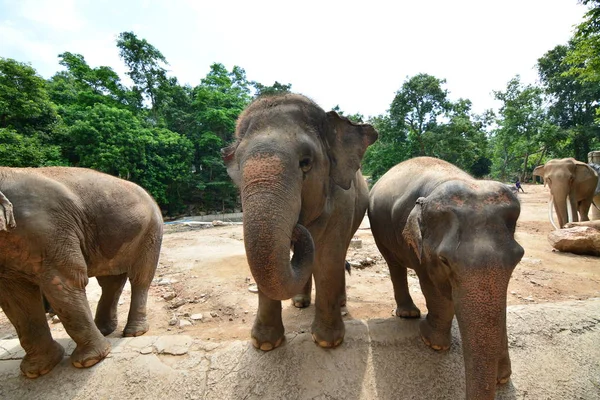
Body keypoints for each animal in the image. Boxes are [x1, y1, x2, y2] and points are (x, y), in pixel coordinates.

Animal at [0, 166, 163, 378]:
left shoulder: (49, 232)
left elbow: (62, 281)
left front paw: (89, 361)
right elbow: (15, 299)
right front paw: (37, 370)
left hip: (150, 232)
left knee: (140, 278)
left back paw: (134, 333)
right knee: (111, 282)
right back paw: (104, 330)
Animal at [223, 93, 378, 350]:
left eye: (305, 162)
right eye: (238, 170)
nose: (297, 228)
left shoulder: (342, 201)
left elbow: (328, 258)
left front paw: (328, 341)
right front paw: (265, 344)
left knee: (339, 254)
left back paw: (340, 303)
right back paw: (299, 302)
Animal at [368, 157, 524, 400]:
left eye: (518, 257)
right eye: (444, 260)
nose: (500, 378)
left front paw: (503, 377)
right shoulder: (419, 249)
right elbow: (434, 290)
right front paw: (433, 342)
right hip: (380, 232)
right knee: (394, 264)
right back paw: (409, 314)